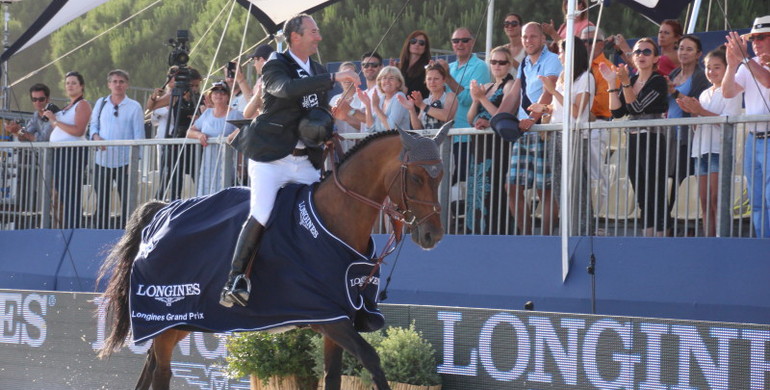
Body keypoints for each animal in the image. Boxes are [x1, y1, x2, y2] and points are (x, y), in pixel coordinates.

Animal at [96, 122, 450, 390]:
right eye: (416, 177)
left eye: (441, 176)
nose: (432, 236)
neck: (336, 219)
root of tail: (161, 211)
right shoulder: (328, 318)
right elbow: (372, 360)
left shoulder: (337, 320)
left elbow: (333, 377)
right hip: (164, 320)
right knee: (161, 374)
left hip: (179, 322)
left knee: (152, 368)